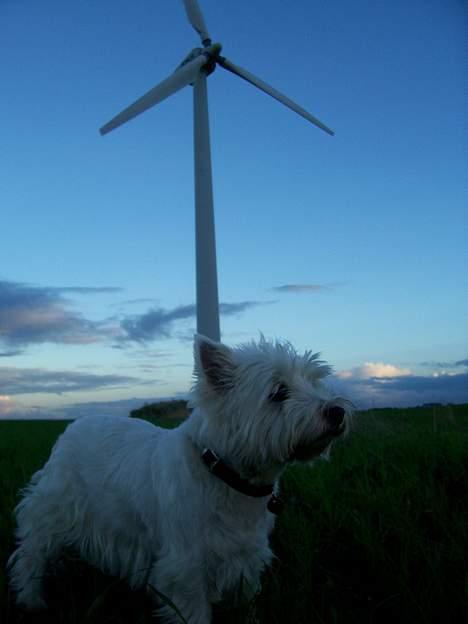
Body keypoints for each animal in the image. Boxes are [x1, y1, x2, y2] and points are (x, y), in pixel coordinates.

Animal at [8, 336, 352, 624]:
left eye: (314, 382)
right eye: (279, 392)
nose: (337, 411)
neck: (227, 476)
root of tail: (74, 425)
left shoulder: (245, 559)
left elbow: (246, 603)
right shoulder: (186, 569)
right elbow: (194, 612)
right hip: (53, 511)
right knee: (32, 554)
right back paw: (31, 601)